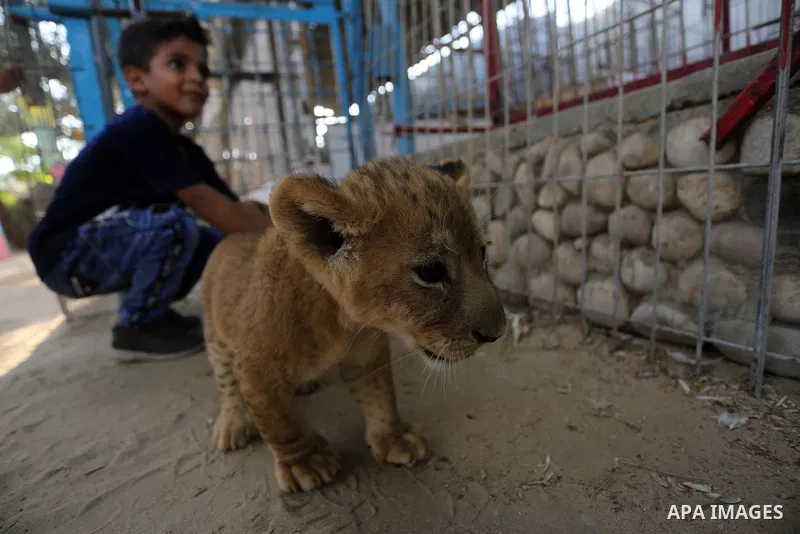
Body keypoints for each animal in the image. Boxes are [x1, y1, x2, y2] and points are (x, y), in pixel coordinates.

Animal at [201, 156, 507, 493]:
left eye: (482, 252)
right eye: (430, 271)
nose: (498, 333)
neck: (341, 322)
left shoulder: (365, 355)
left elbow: (380, 396)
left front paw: (393, 439)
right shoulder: (256, 367)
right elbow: (280, 421)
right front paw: (304, 462)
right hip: (215, 337)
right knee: (225, 383)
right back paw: (232, 425)